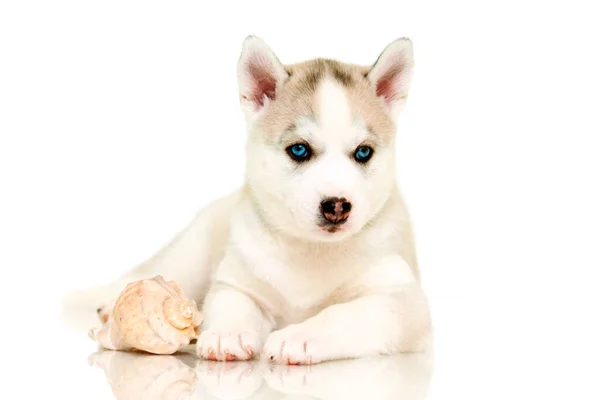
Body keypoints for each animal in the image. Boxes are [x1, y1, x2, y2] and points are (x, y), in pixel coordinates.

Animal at [91, 36, 432, 364]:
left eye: (363, 152)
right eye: (299, 150)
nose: (337, 206)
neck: (312, 251)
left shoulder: (401, 300)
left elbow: (344, 313)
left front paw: (300, 337)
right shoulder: (237, 283)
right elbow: (234, 304)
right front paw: (227, 333)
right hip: (192, 254)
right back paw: (108, 304)